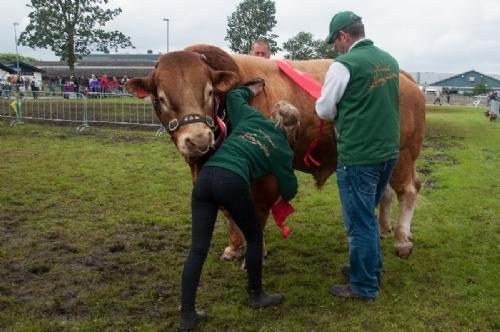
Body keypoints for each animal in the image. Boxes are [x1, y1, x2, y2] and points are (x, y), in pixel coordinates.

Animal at [125, 44, 426, 260]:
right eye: (161, 98)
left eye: (209, 91)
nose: (199, 138)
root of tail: (404, 76)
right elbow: (228, 211)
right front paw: (233, 247)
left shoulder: (265, 179)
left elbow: (256, 215)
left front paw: (254, 253)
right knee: (386, 191)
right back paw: (384, 229)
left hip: (403, 153)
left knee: (408, 190)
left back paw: (402, 240)